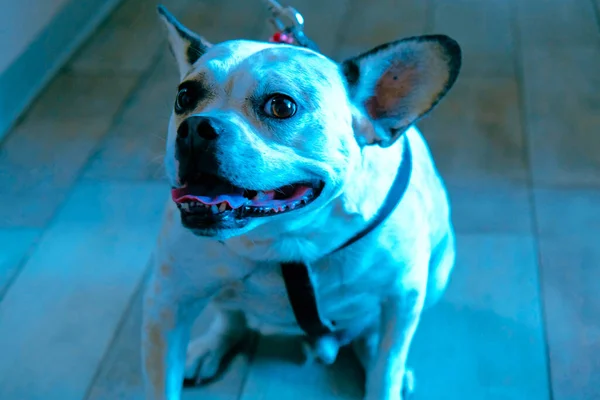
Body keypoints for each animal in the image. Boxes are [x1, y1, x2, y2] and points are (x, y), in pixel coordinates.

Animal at [143, 4, 462, 398]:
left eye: (281, 106)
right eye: (184, 97)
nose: (194, 127)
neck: (284, 238)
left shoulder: (403, 296)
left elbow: (387, 364)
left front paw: (388, 377)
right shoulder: (166, 304)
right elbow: (162, 382)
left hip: (438, 273)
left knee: (374, 338)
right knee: (231, 314)